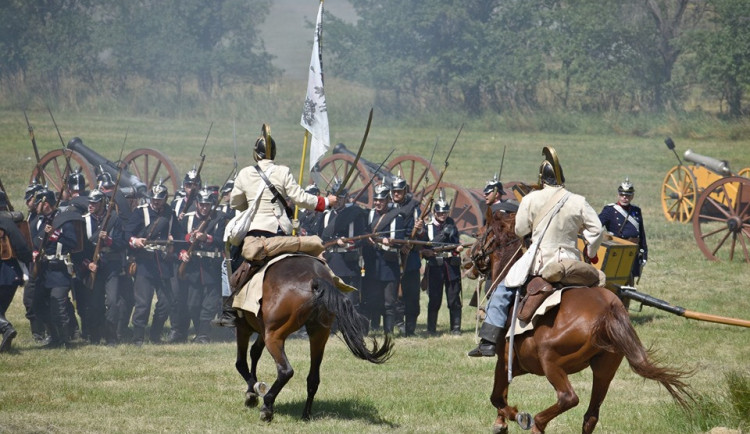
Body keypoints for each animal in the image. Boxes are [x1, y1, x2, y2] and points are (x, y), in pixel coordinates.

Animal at [236, 254, 394, 420]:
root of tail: (314, 279)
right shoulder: (262, 330)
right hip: (318, 334)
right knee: (313, 378)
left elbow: (241, 362)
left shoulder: (244, 328)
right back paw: (305, 414)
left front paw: (252, 393)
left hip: (274, 336)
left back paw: (267, 406)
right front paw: (253, 391)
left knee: (285, 371)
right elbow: (255, 352)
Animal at [468, 209, 696, 430]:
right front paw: (501, 423)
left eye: (480, 233)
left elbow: (497, 397)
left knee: (568, 398)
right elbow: (501, 396)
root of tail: (607, 311)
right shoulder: (515, 365)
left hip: (551, 363)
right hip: (605, 370)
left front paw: (515, 417)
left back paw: (536, 423)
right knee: (591, 415)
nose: (468, 258)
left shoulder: (504, 360)